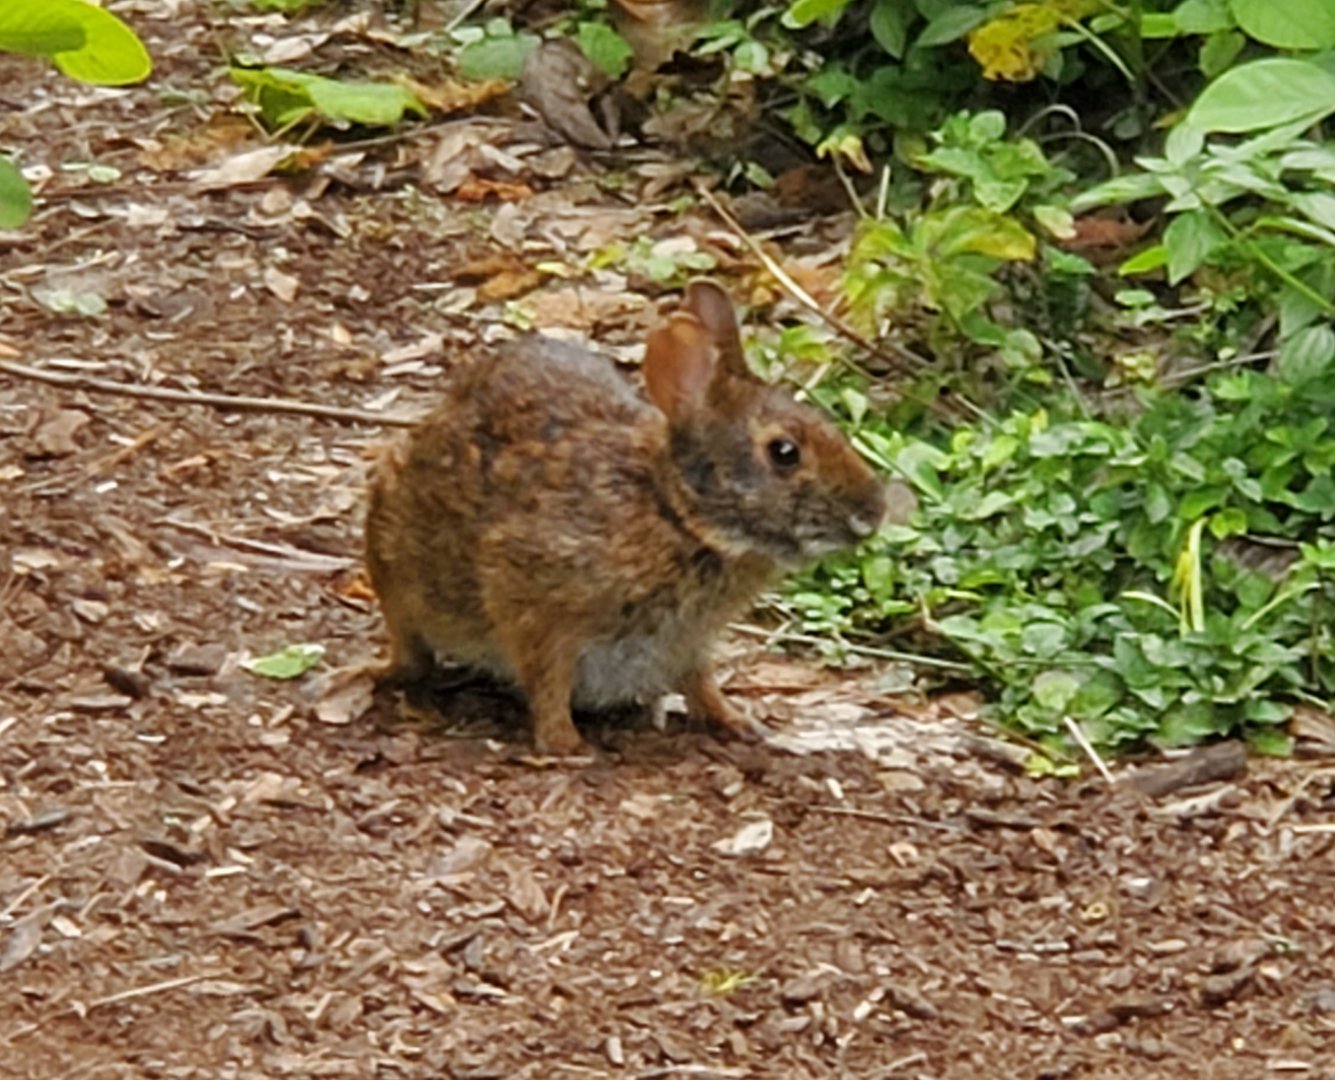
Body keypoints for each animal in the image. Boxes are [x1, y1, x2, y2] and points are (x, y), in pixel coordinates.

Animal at [365, 281, 887, 755]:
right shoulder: (537, 604)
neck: (675, 511)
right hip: (397, 575)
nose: (873, 511)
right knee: (411, 650)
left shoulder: (689, 642)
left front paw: (740, 723)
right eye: (784, 453)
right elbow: (547, 680)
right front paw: (566, 746)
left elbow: (700, 683)